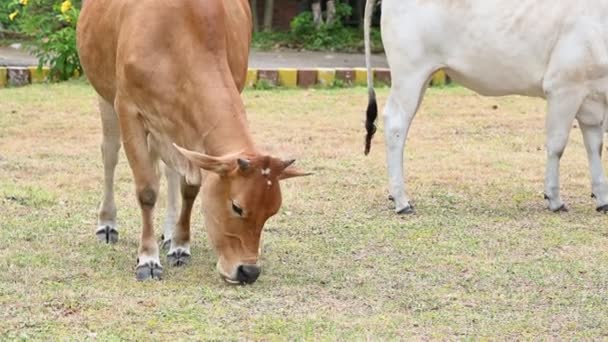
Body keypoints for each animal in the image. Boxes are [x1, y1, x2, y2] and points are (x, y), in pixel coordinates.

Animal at [77, 0, 308, 284]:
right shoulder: (128, 109)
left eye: (272, 211)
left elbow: (189, 188)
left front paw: (180, 246)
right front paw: (148, 259)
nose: (249, 271)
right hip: (105, 96)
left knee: (168, 171)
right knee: (110, 154)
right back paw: (107, 224)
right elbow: (147, 191)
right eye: (237, 206)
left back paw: (168, 232)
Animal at [364, 0, 608, 214]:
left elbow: (595, 146)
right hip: (409, 73)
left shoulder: (592, 98)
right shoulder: (563, 88)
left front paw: (602, 199)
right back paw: (401, 201)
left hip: (422, 77)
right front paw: (554, 199)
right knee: (396, 123)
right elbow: (557, 145)